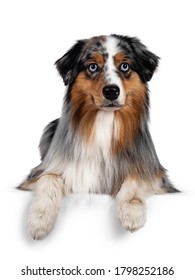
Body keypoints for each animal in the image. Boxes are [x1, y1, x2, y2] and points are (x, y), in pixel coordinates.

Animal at [18, 34, 178, 240]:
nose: (111, 91)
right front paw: (40, 220)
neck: (105, 121)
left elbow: (135, 178)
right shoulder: (44, 170)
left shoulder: (153, 171)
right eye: (93, 66)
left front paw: (132, 213)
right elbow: (49, 178)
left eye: (125, 66)